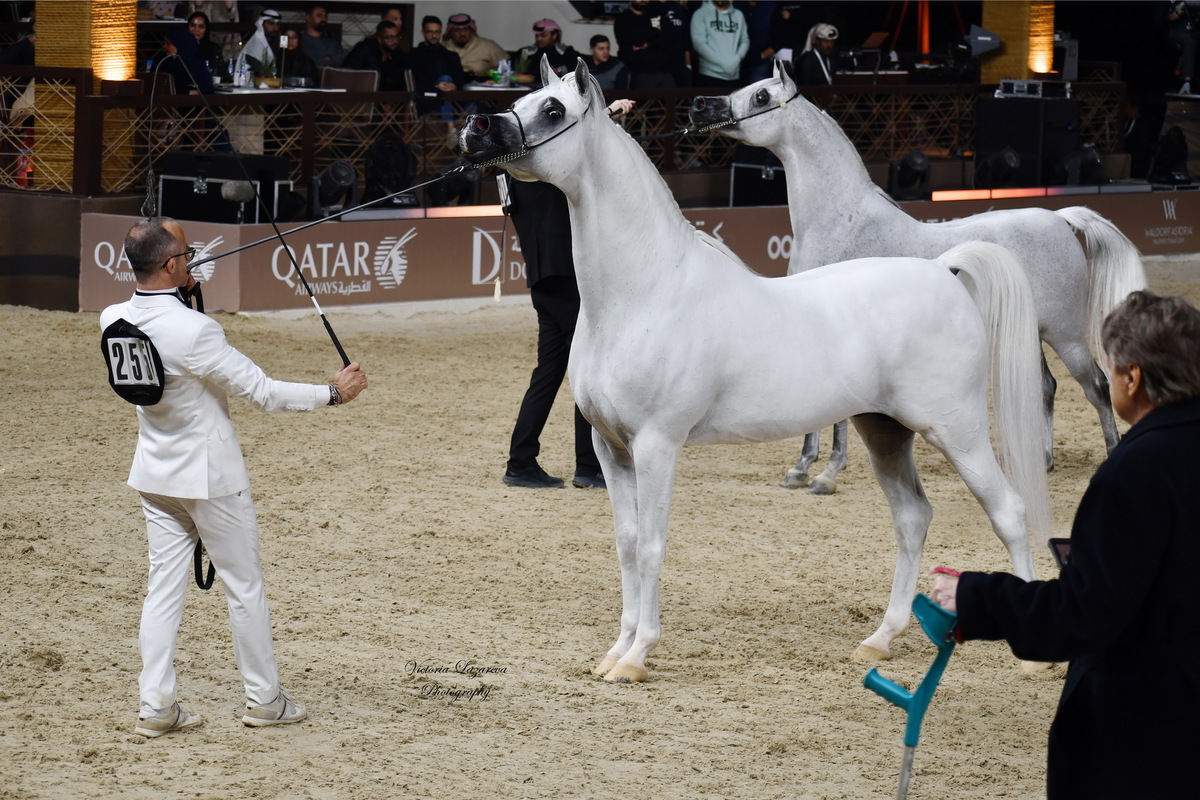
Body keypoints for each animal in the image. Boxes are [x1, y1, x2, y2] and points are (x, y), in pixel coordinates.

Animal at [460, 58, 1050, 681]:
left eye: (553, 109)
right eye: (523, 99)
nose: (477, 127)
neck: (646, 291)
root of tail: (943, 270)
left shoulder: (656, 446)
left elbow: (652, 545)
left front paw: (639, 655)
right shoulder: (610, 449)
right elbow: (626, 543)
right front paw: (616, 652)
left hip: (957, 431)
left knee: (1008, 512)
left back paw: (1030, 658)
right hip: (884, 431)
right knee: (913, 518)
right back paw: (879, 640)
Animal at [689, 61, 1146, 494]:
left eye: (761, 95)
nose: (699, 105)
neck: (842, 222)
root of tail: (1060, 218)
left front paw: (827, 474)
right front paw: (801, 467)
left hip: (1066, 335)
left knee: (1097, 387)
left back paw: (1108, 452)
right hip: (1031, 330)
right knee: (1046, 388)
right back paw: (1044, 461)